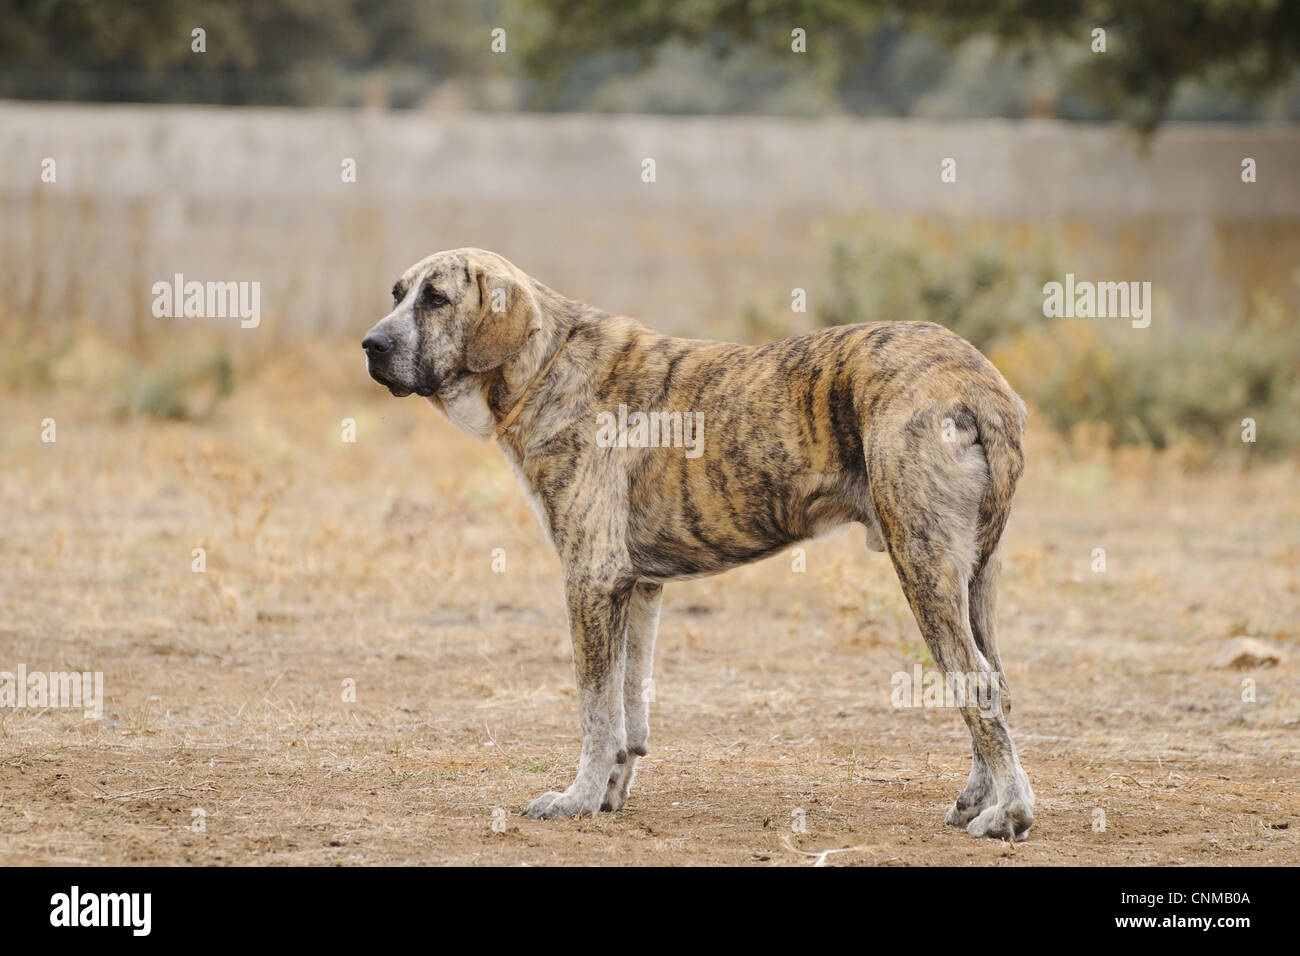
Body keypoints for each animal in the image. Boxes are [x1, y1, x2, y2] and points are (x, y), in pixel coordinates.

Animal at [364, 251, 1034, 842]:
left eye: (436, 299)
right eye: (397, 294)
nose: (371, 345)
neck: (546, 363)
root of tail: (980, 383)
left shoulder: (590, 579)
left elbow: (595, 711)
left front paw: (576, 799)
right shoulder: (638, 589)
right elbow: (629, 710)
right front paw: (609, 795)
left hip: (921, 566)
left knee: (976, 686)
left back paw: (1011, 814)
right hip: (973, 580)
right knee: (995, 683)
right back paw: (976, 800)